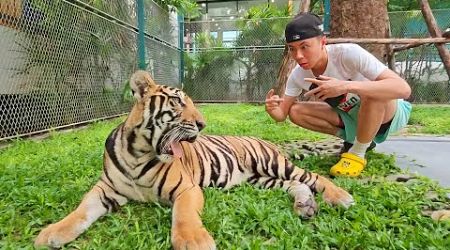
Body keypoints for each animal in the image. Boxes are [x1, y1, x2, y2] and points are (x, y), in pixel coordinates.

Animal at [35, 70, 354, 250]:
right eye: (178, 102)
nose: (202, 124)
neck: (139, 152)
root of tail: (268, 141)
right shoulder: (104, 190)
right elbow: (80, 212)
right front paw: (50, 234)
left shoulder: (186, 189)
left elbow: (184, 215)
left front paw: (194, 242)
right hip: (261, 179)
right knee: (295, 185)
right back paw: (305, 206)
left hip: (270, 163)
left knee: (312, 177)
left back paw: (341, 197)